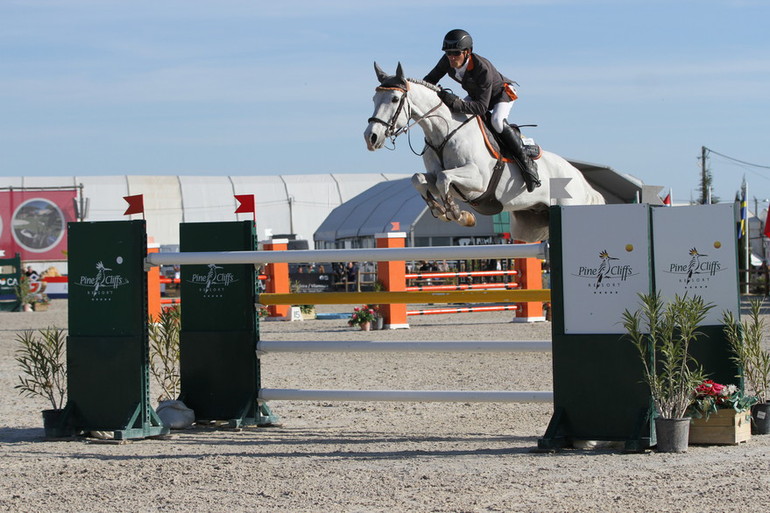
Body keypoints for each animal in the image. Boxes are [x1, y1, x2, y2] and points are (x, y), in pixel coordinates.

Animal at [364, 62, 604, 242]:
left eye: (395, 99)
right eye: (374, 99)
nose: (371, 137)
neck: (444, 132)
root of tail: (581, 179)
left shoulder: (477, 179)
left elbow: (444, 178)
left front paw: (458, 214)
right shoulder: (434, 175)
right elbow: (419, 179)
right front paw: (440, 210)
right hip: (529, 224)